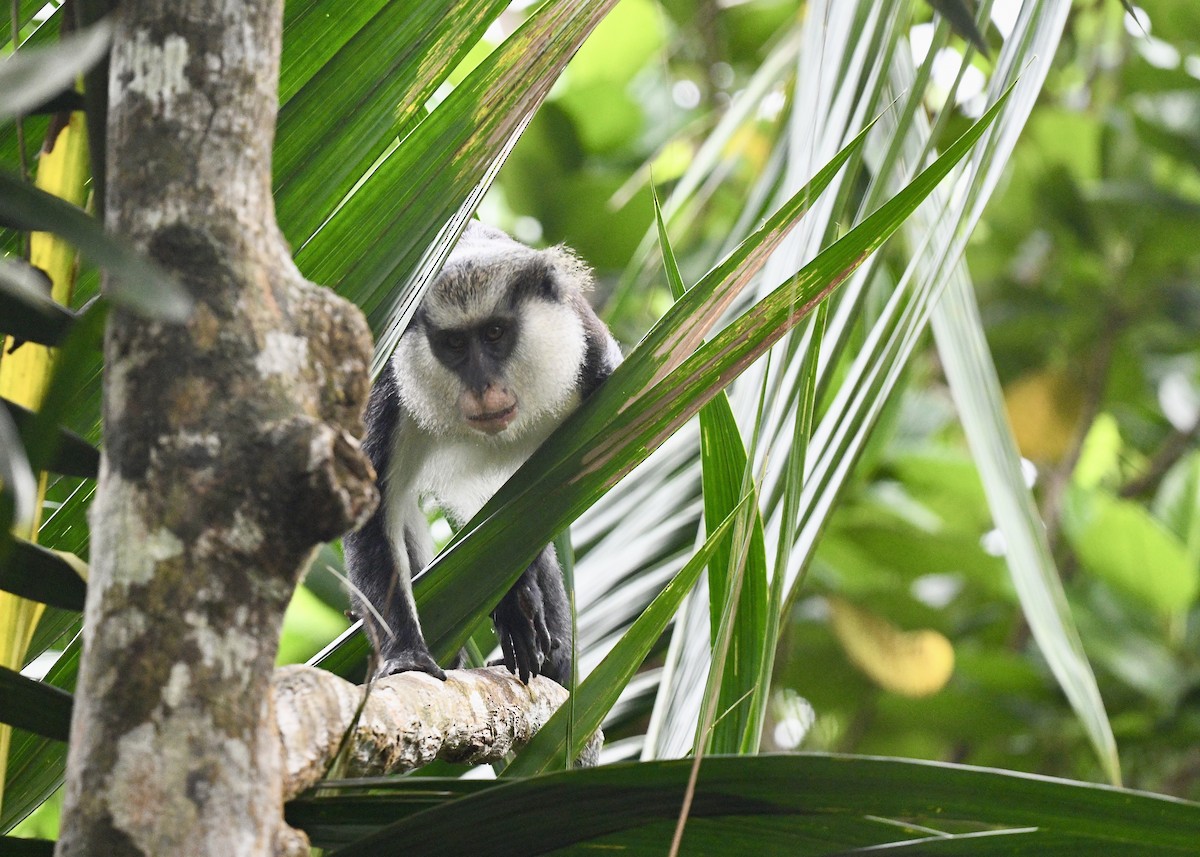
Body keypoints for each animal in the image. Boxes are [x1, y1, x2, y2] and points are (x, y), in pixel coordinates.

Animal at [343, 221, 621, 686]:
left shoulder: (593, 360)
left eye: (494, 333)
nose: (482, 387)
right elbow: (373, 514)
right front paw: (406, 654)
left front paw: (520, 601)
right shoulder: (386, 391)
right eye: (455, 343)